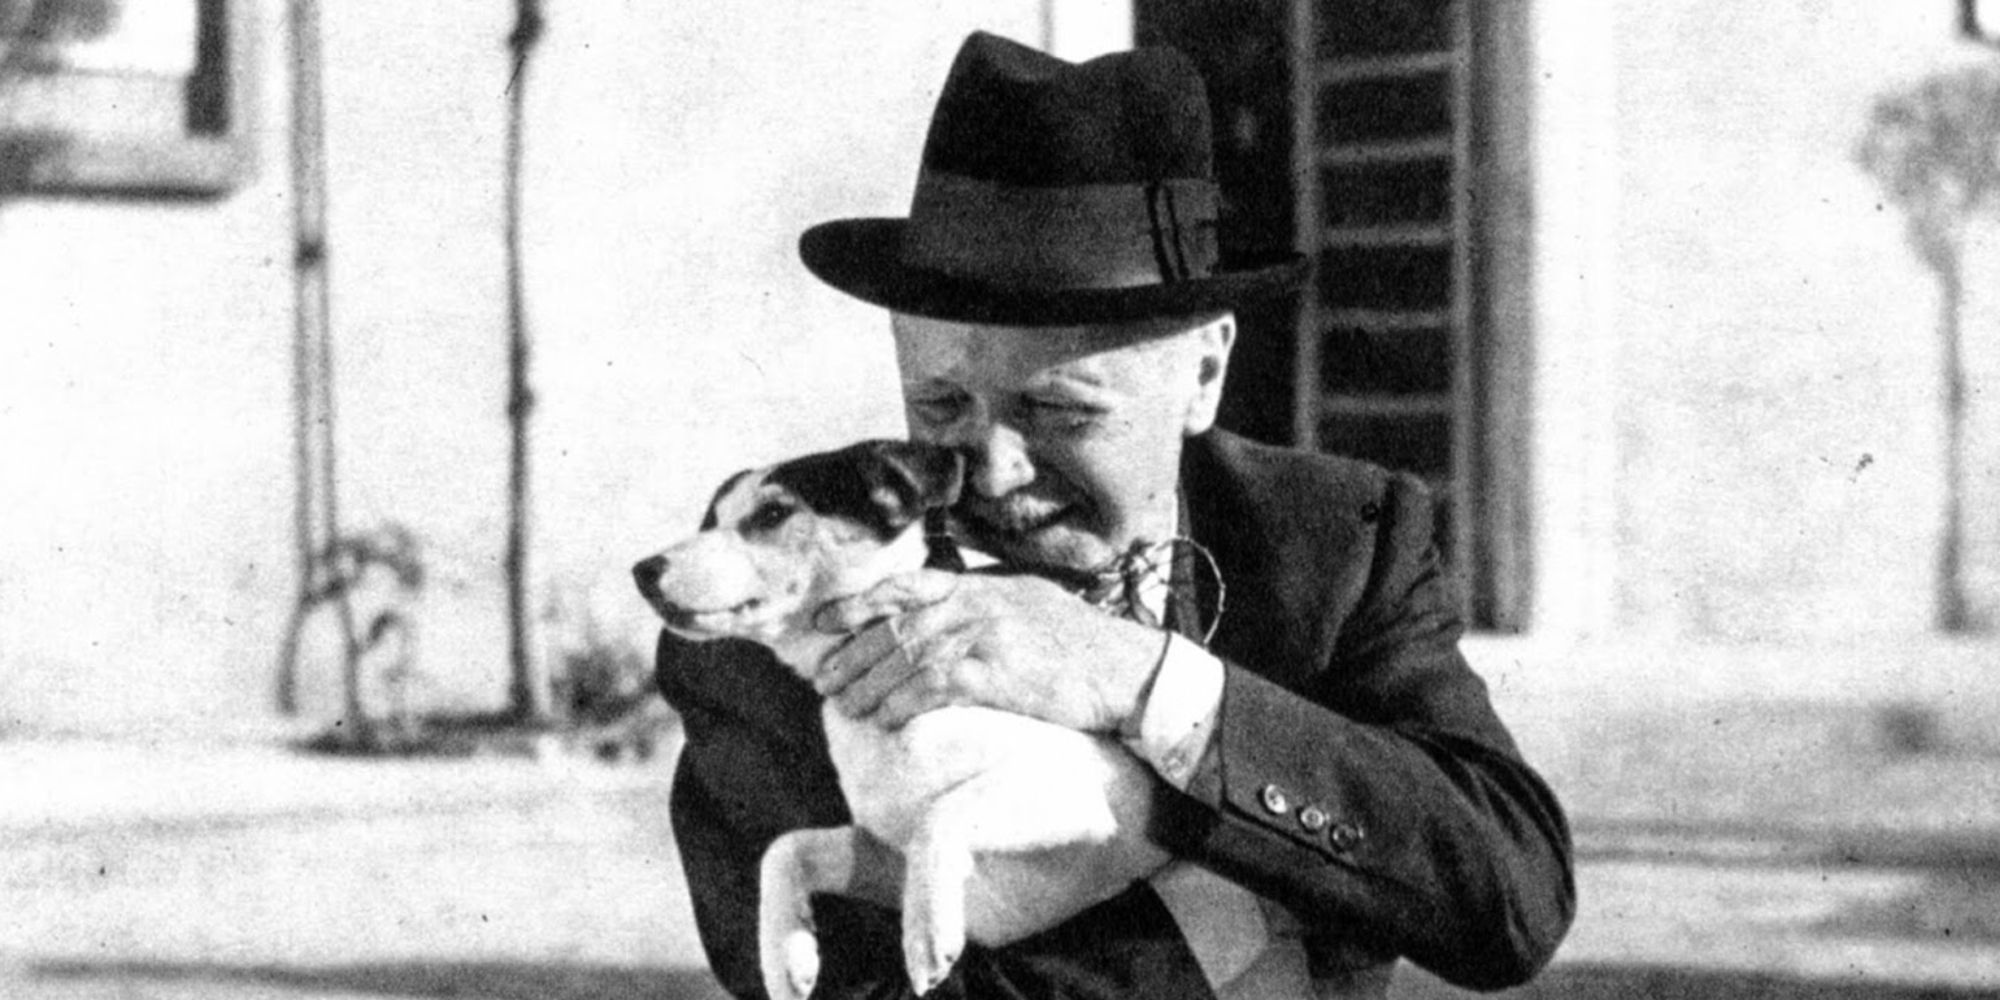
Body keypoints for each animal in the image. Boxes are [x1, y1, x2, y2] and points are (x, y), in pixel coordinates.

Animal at [636, 444, 1280, 1000]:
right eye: (712, 518)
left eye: (772, 513)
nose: (642, 569)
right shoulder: (886, 852)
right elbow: (788, 847)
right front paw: (786, 958)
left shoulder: (1081, 794)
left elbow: (943, 813)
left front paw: (927, 938)